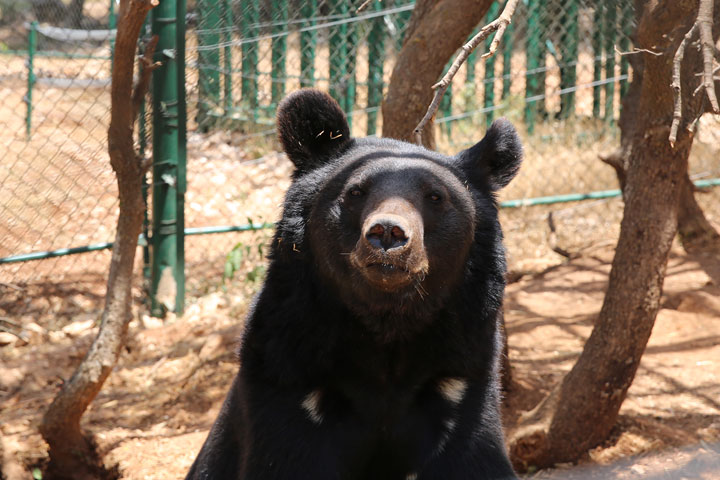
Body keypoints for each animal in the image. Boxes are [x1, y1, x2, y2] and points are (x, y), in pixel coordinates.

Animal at [185, 89, 522, 480]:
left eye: (436, 197)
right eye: (356, 192)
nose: (388, 233)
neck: (386, 325)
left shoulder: (462, 379)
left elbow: (473, 460)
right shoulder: (286, 372)